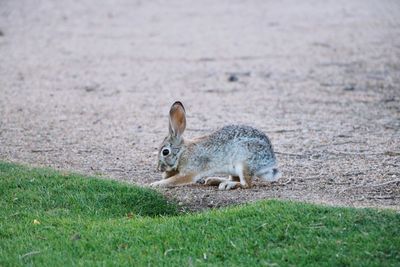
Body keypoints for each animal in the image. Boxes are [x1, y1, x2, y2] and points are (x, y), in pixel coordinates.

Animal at [151, 101, 282, 191]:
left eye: (165, 152)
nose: (159, 168)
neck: (182, 152)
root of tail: (270, 161)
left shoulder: (190, 171)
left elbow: (174, 180)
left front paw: (155, 184)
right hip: (234, 168)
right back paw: (213, 180)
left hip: (244, 163)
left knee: (246, 184)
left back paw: (227, 185)